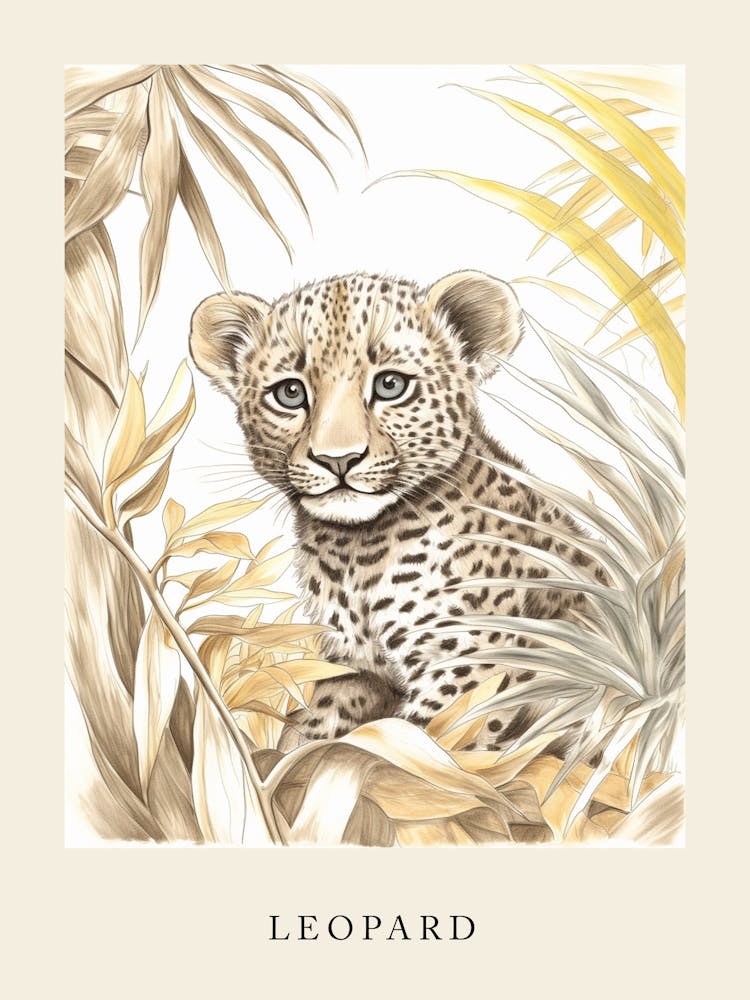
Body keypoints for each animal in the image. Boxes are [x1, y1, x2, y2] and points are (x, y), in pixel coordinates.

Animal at [189, 270, 606, 755]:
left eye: (391, 385)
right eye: (290, 393)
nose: (338, 459)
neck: (355, 553)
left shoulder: (473, 663)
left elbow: (420, 740)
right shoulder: (352, 666)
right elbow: (320, 729)